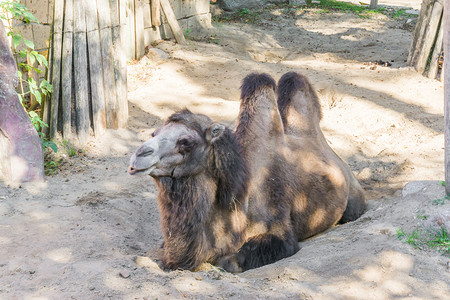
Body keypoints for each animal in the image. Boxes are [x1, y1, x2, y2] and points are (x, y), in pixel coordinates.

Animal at [126, 72, 366, 272]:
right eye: (154, 132)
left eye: (186, 142)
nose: (139, 155)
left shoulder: (279, 229)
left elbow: (230, 262)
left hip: (353, 199)